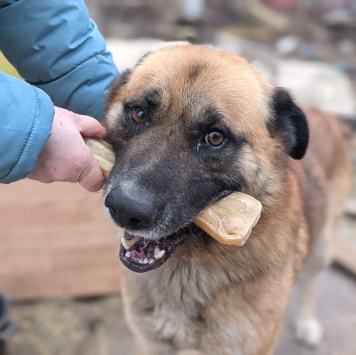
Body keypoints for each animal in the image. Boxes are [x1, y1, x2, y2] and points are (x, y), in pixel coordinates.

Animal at [101, 43, 350, 354]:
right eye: (138, 114)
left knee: (310, 282)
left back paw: (307, 323)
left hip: (322, 249)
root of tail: (324, 114)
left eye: (215, 137)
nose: (125, 209)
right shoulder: (150, 344)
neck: (188, 268)